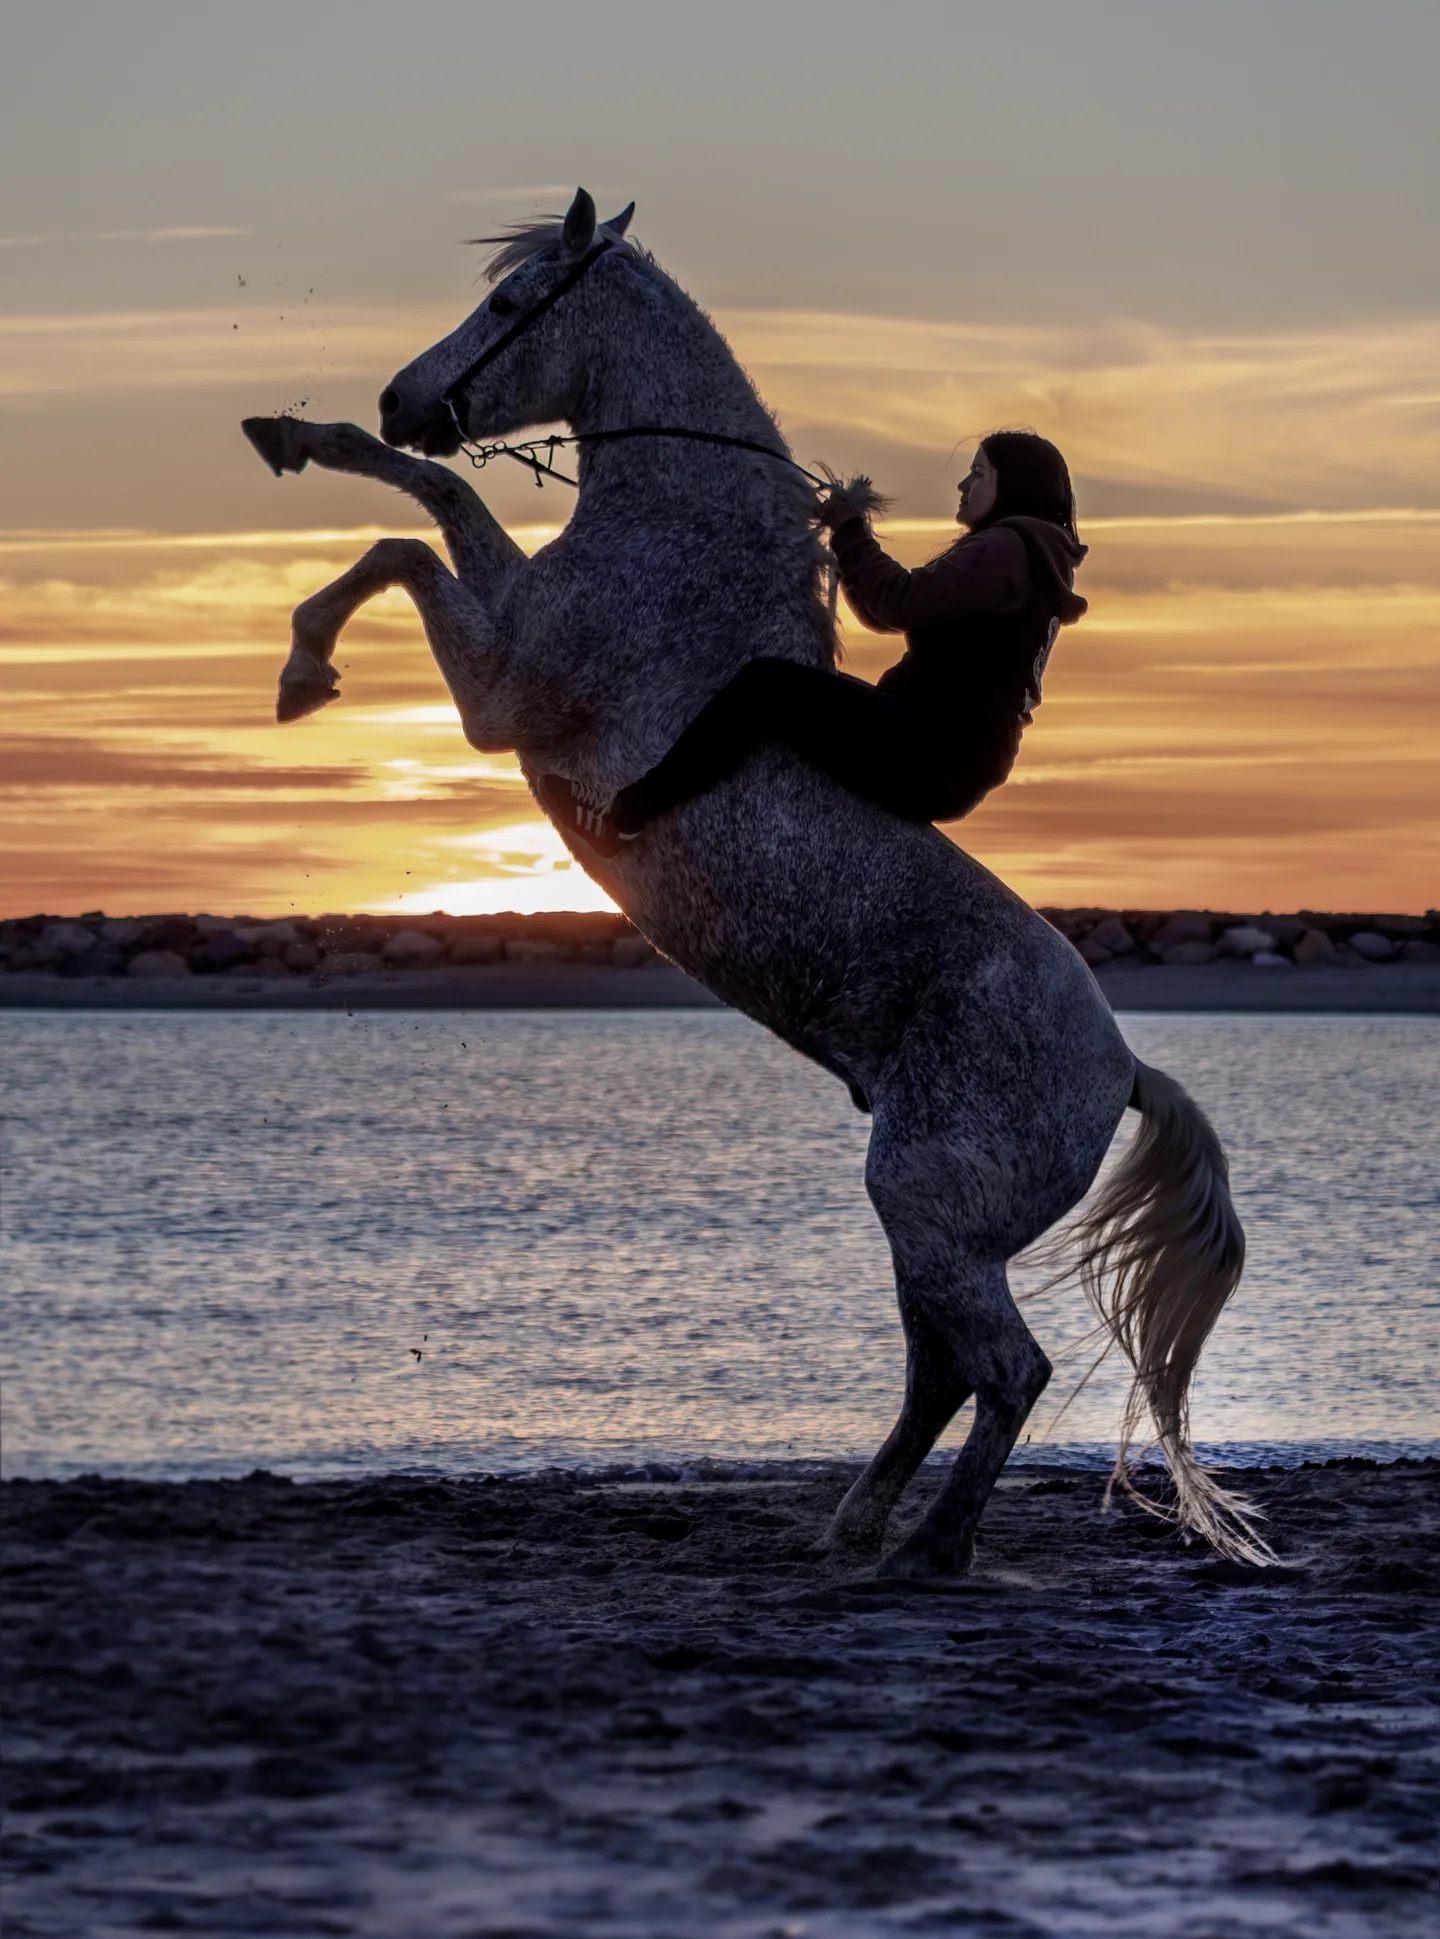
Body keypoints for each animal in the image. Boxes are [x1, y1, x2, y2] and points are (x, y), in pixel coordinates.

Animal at [242, 188, 1270, 1573]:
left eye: (511, 303)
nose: (407, 395)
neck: (684, 549)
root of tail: (1123, 1070)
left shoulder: (501, 690)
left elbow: (408, 535)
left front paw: (305, 670)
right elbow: (428, 496)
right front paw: (298, 437)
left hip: (927, 1206)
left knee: (1007, 1369)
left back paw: (930, 1547)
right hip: (926, 1228)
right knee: (943, 1371)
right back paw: (857, 1521)